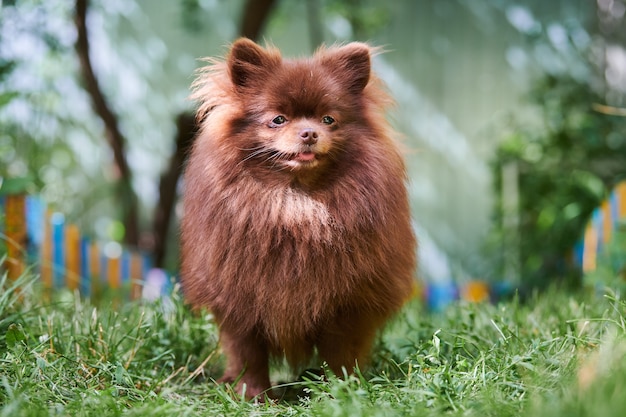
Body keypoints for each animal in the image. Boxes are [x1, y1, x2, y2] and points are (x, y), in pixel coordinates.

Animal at [180, 39, 414, 400]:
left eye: (328, 119)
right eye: (278, 119)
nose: (309, 133)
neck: (295, 201)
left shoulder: (346, 305)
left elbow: (339, 353)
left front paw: (341, 390)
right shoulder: (239, 299)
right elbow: (248, 354)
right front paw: (252, 395)